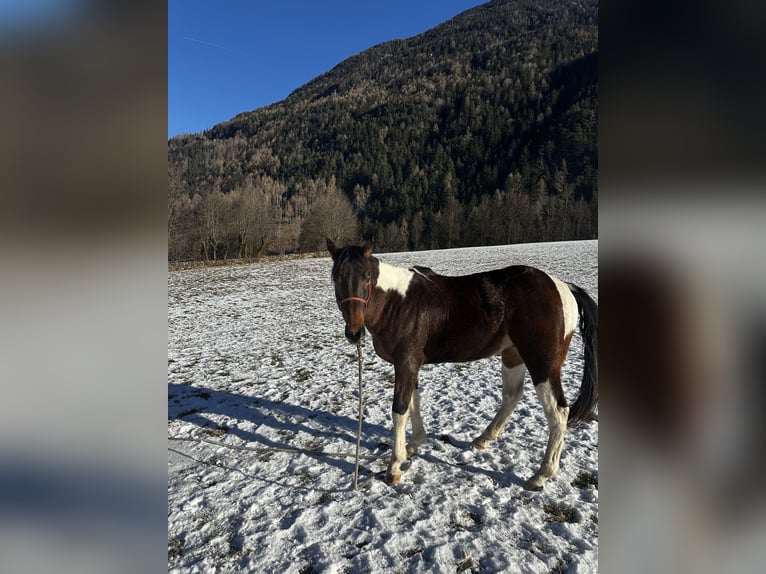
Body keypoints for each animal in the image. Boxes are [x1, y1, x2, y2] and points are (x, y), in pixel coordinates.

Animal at [328, 238, 596, 490]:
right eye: (336, 277)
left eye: (367, 276)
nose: (354, 333)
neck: (398, 303)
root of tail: (562, 286)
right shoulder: (410, 365)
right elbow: (414, 403)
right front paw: (412, 446)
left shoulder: (405, 363)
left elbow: (400, 410)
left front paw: (394, 466)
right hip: (513, 355)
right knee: (512, 396)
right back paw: (484, 439)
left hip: (542, 364)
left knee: (558, 413)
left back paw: (541, 475)